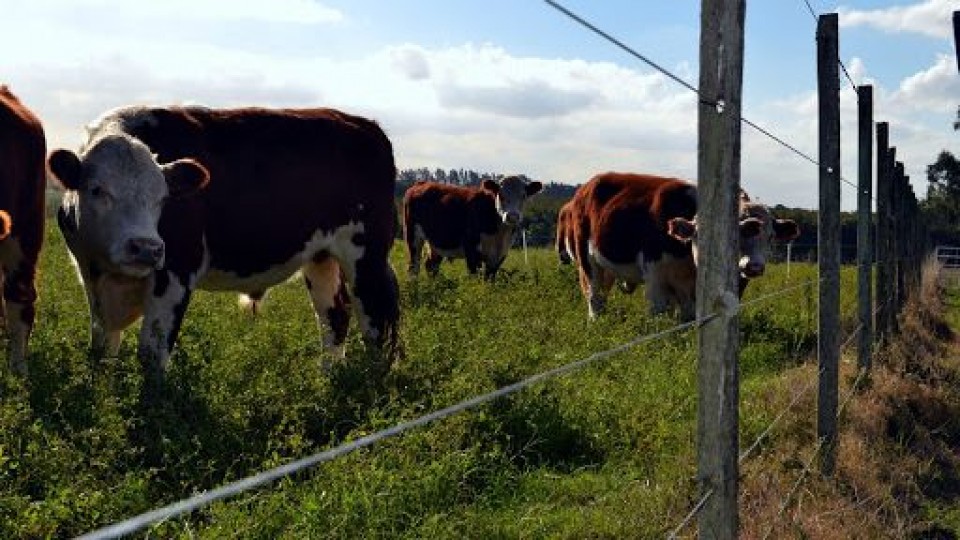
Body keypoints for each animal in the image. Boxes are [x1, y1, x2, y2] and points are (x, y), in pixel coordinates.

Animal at [47, 105, 402, 392]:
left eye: (163, 198)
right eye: (97, 190)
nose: (146, 248)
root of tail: (365, 124)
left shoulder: (176, 271)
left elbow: (152, 351)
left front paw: (155, 408)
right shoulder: (89, 273)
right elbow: (101, 346)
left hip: (366, 254)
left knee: (376, 317)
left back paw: (372, 381)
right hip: (321, 258)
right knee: (335, 315)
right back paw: (327, 378)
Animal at [402, 176, 544, 280]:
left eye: (524, 196)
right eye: (500, 194)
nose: (512, 216)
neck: (498, 234)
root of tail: (420, 184)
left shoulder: (500, 254)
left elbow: (489, 279)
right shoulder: (471, 249)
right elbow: (474, 276)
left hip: (437, 242)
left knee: (431, 266)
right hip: (412, 237)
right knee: (413, 267)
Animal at [568, 172, 800, 320]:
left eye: (770, 237)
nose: (753, 266)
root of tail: (587, 186)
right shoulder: (656, 278)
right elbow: (659, 314)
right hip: (587, 263)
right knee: (594, 298)